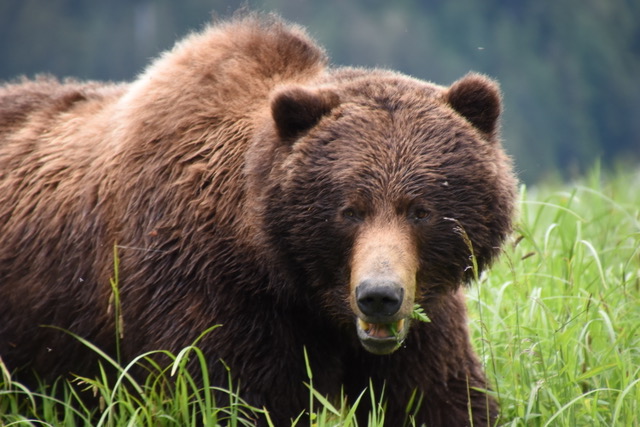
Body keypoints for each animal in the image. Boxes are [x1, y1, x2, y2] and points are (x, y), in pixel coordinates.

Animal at [0, 14, 517, 426]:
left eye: (420, 209)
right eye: (350, 210)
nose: (378, 297)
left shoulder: (423, 315)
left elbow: (439, 398)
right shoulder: (208, 294)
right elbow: (233, 398)